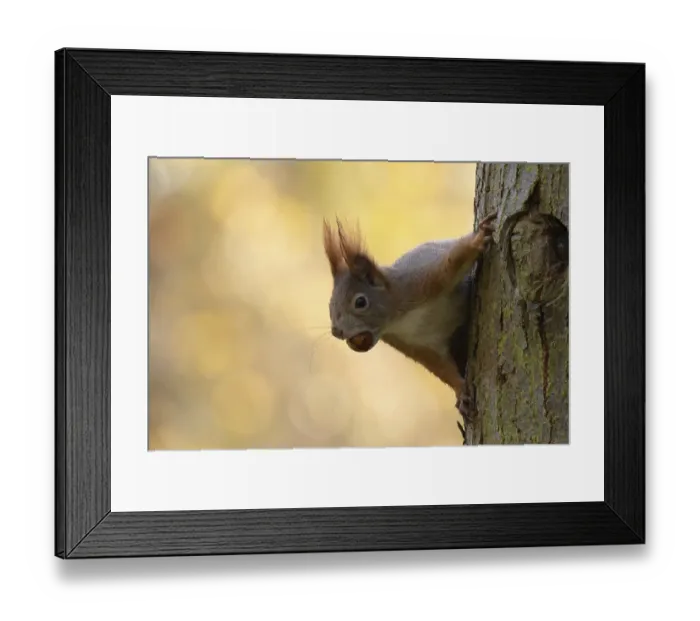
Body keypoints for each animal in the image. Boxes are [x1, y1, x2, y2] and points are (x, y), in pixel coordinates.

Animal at [322, 213, 497, 428]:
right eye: (330, 306)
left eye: (360, 302)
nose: (336, 331)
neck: (398, 321)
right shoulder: (414, 345)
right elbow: (440, 367)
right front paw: (460, 391)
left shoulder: (421, 281)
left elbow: (451, 262)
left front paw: (477, 241)